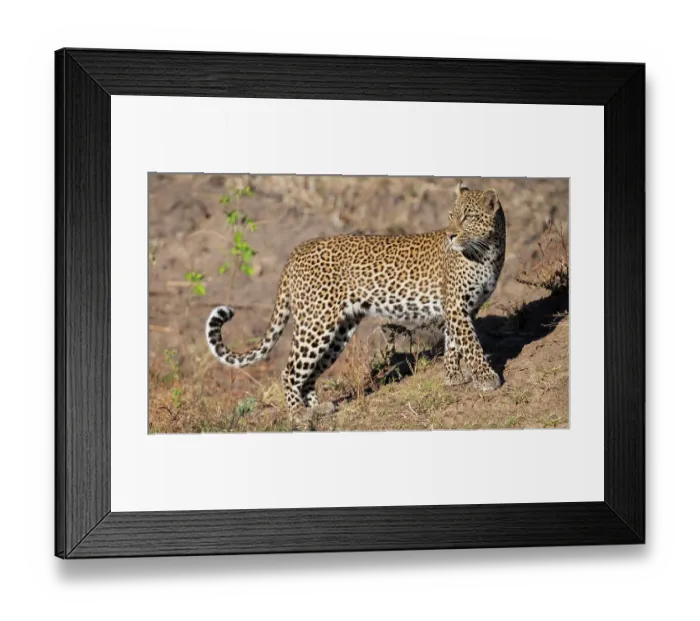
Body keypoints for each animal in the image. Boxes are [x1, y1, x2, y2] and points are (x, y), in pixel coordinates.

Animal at [206, 182, 506, 411]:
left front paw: (454, 376)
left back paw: (318, 409)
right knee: (289, 371)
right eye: (451, 216)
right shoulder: (456, 306)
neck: (489, 252)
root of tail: (297, 250)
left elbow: (455, 343)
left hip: (338, 330)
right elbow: (471, 344)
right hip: (316, 323)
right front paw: (486, 377)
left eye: (468, 217)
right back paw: (298, 415)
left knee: (309, 373)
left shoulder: (463, 309)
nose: (451, 235)